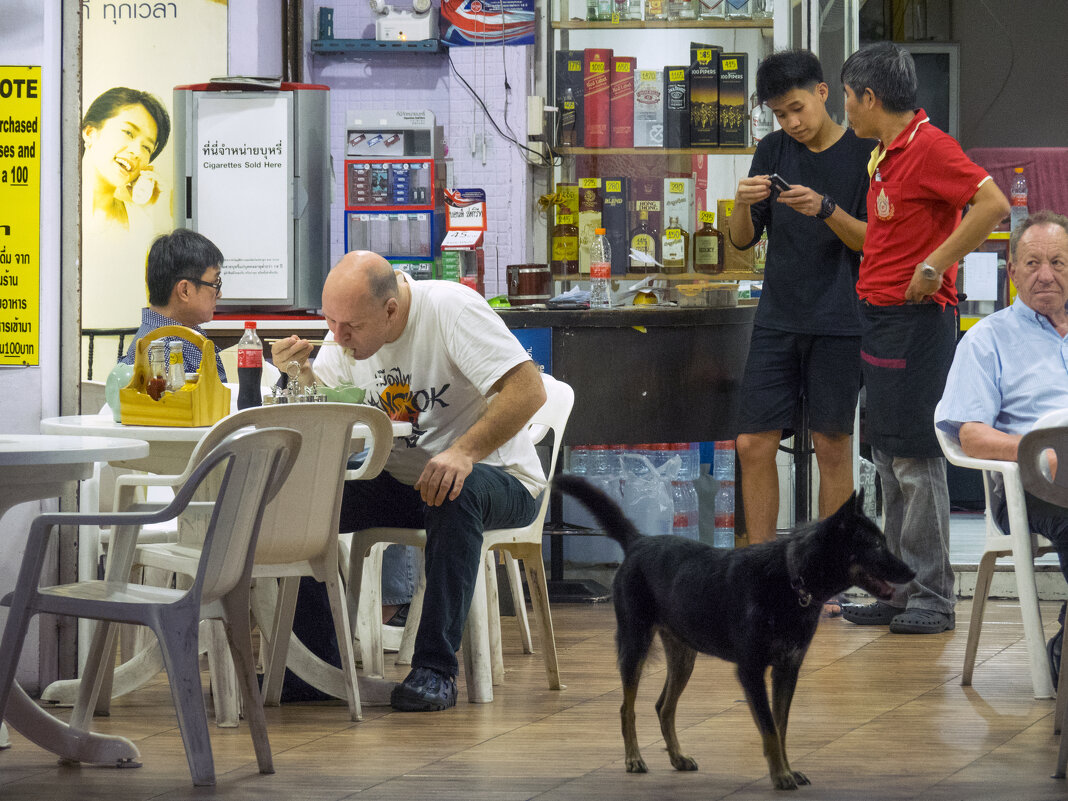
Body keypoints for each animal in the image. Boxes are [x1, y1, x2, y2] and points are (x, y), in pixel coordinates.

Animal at [555, 476, 914, 790]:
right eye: (876, 545)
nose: (911, 572)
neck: (792, 578)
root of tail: (638, 542)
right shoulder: (752, 672)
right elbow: (769, 727)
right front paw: (780, 775)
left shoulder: (787, 670)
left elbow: (781, 727)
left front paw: (787, 768)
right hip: (635, 644)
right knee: (626, 708)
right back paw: (633, 758)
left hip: (683, 656)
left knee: (663, 707)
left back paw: (677, 756)